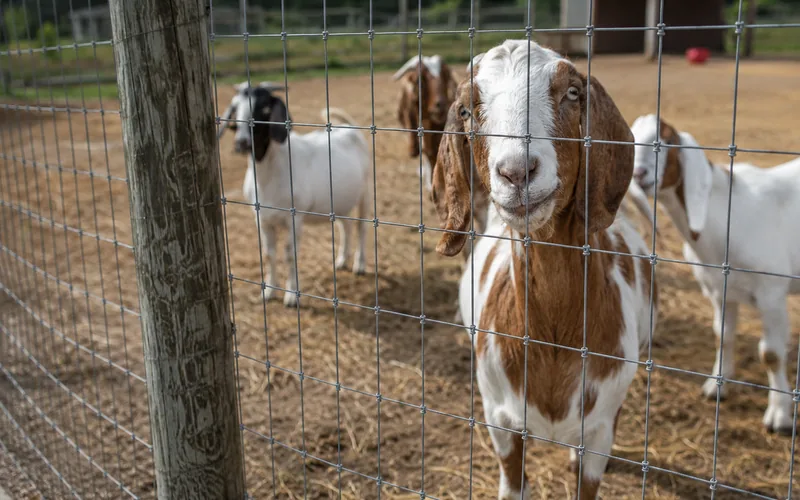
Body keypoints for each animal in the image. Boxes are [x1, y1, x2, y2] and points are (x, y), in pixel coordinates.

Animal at [219, 82, 371, 307]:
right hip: (341, 200)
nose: (242, 143)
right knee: (347, 226)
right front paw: (269, 291)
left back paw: (359, 266)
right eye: (235, 108)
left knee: (362, 226)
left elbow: (290, 255)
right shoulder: (262, 219)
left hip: (366, 192)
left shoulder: (294, 217)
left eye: (265, 108)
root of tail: (349, 128)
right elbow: (269, 254)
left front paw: (291, 296)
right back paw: (342, 261)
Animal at [433, 40, 657, 499]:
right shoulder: (498, 417)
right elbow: (513, 482)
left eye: (572, 93)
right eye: (465, 110)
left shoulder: (602, 427)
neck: (555, 339)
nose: (517, 172)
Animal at [630, 113, 800, 434]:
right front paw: (716, 386)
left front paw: (779, 417)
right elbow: (723, 335)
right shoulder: (717, 289)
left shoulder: (771, 292)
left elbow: (770, 354)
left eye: (666, 140)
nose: (638, 173)